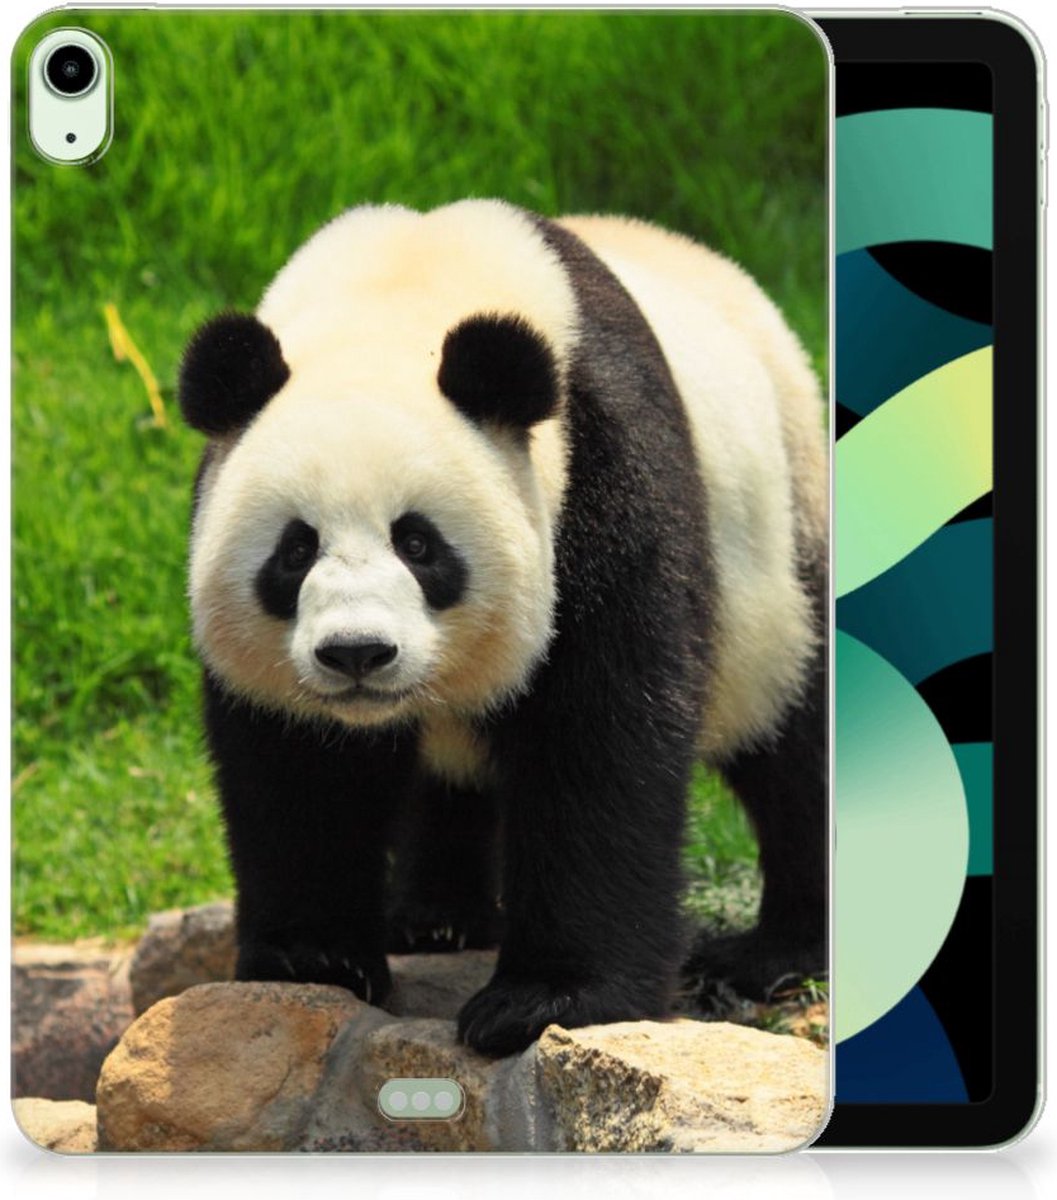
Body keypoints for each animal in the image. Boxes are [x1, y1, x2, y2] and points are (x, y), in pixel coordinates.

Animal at [179, 199, 827, 1057]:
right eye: (295, 549)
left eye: (418, 544)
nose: (357, 653)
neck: (399, 294)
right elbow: (298, 764)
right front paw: (311, 959)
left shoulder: (602, 471)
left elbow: (599, 736)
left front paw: (547, 1000)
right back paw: (435, 919)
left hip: (781, 540)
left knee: (794, 738)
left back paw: (775, 952)